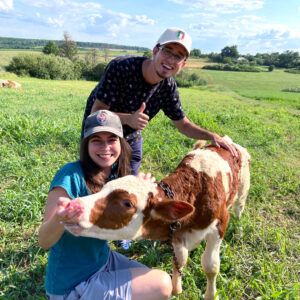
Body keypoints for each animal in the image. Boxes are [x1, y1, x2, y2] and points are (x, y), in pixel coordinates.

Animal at [65, 137, 251, 298]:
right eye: (103, 187)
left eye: (127, 203)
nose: (73, 206)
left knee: (239, 208)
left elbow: (210, 266)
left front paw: (210, 295)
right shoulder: (176, 233)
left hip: (243, 188)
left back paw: (239, 231)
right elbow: (180, 260)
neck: (196, 191)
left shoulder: (219, 224)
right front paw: (176, 289)